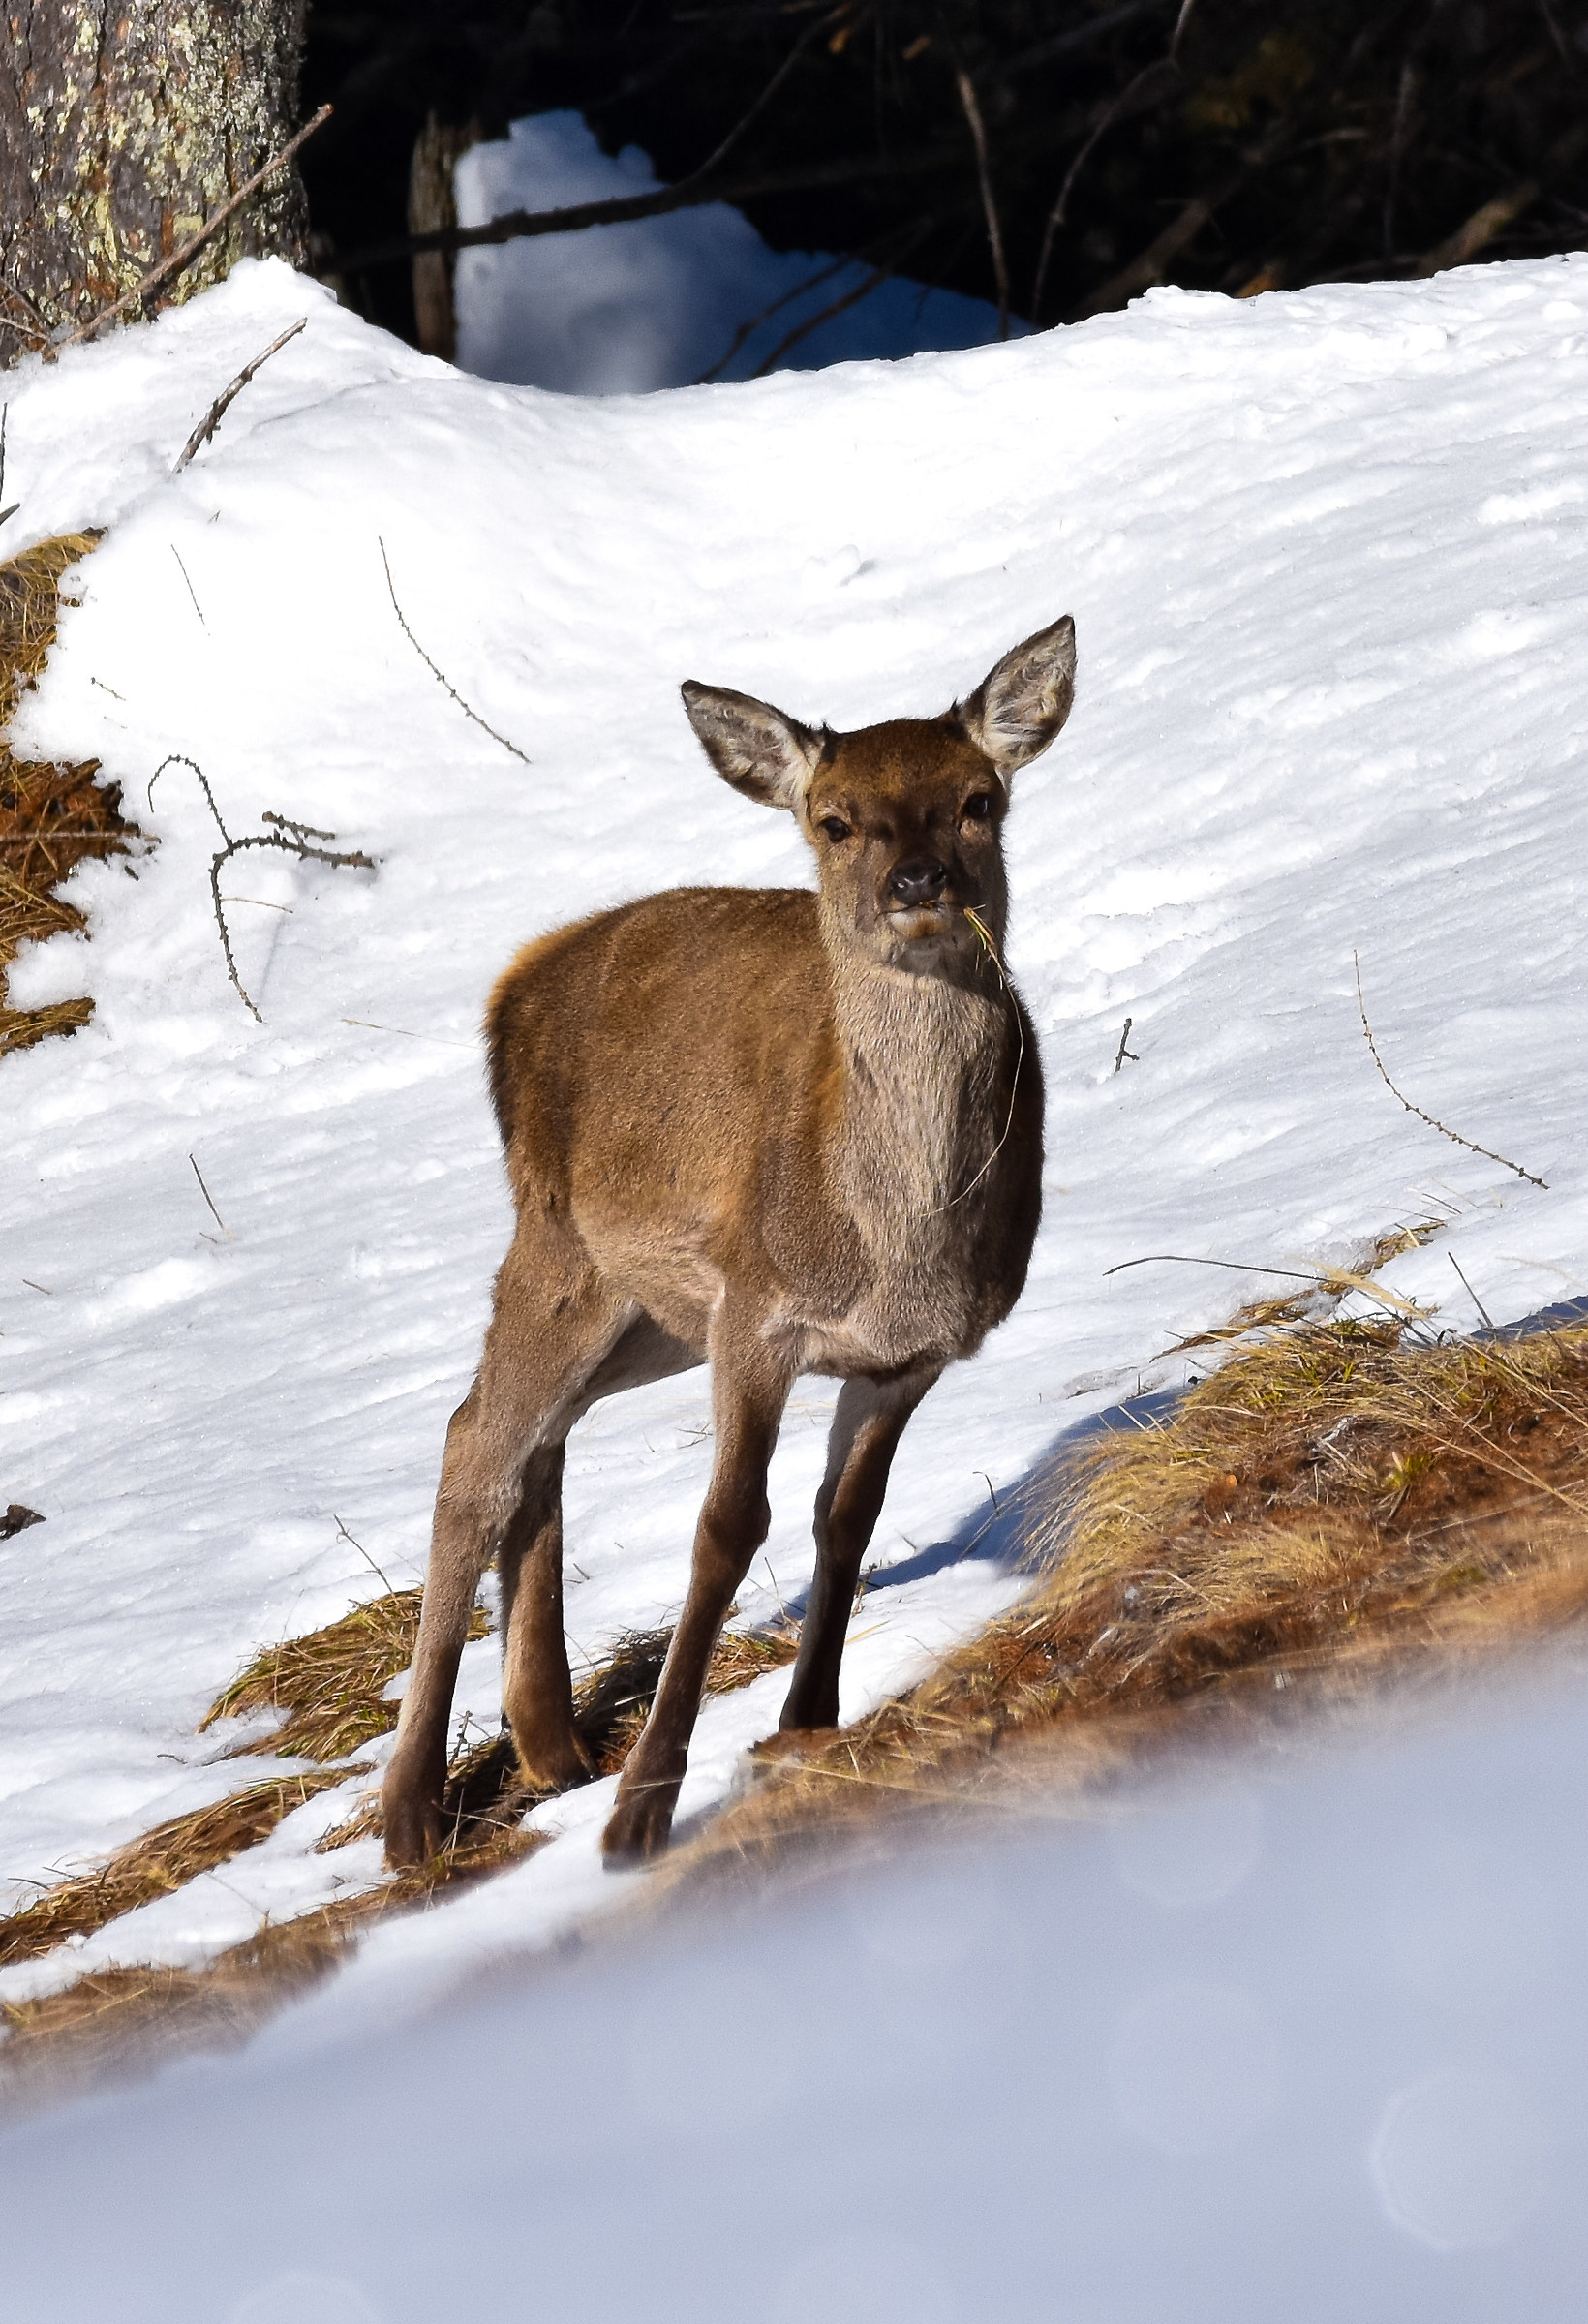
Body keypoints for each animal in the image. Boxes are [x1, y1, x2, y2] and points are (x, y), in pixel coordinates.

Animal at [381, 615, 1076, 1867]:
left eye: (977, 800)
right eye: (834, 819)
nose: (916, 882)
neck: (896, 1243)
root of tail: (513, 984)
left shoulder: (907, 1356)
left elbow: (843, 1520)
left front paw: (806, 1721)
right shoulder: (759, 1311)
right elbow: (724, 1528)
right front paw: (641, 1811)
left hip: (656, 1312)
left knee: (534, 1440)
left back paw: (548, 1744)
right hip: (561, 1248)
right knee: (475, 1445)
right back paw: (413, 1811)